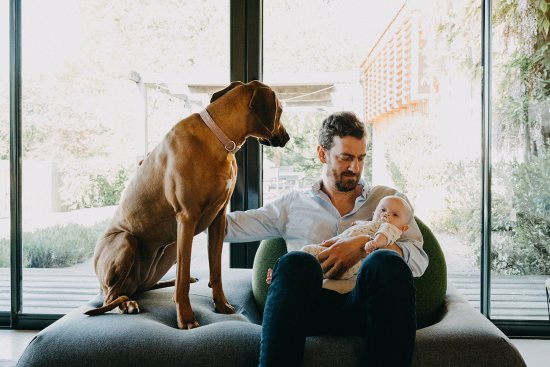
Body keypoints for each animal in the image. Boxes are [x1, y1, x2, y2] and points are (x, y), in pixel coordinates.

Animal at [85, 82, 292, 330]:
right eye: (280, 110)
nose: (287, 137)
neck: (218, 139)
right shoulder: (186, 217)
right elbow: (183, 278)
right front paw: (185, 317)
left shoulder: (218, 218)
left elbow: (216, 271)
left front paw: (221, 304)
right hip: (127, 241)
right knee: (111, 297)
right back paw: (127, 304)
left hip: (169, 248)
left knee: (141, 287)